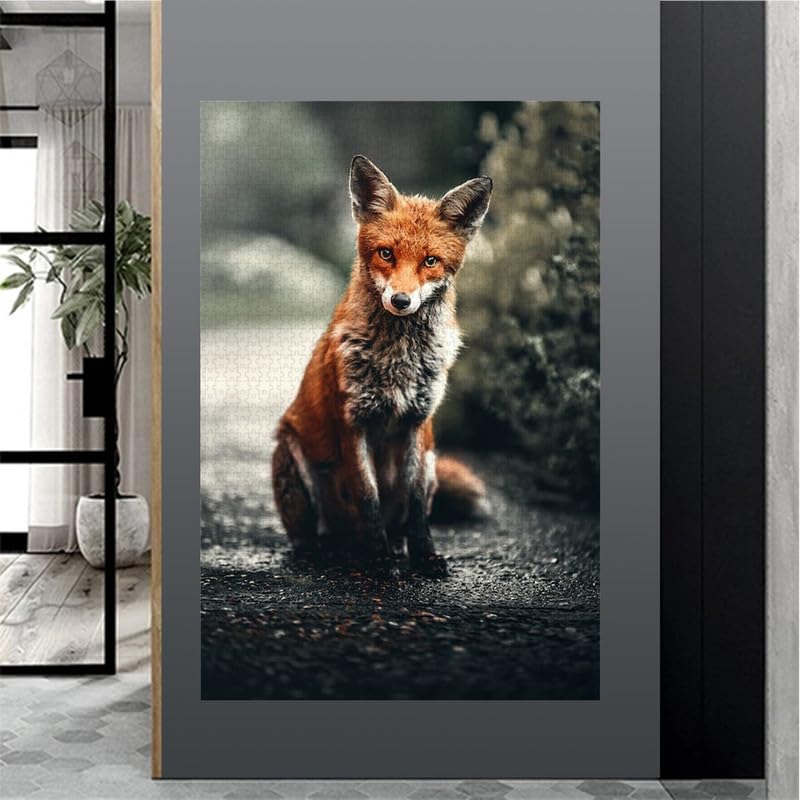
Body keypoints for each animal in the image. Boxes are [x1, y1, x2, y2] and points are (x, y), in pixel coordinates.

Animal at [272, 155, 492, 576]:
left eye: (430, 261)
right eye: (386, 253)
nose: (401, 300)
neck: (398, 360)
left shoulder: (418, 423)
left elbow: (417, 506)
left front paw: (423, 556)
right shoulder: (352, 422)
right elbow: (367, 496)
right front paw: (378, 559)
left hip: (432, 459)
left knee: (401, 518)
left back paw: (394, 545)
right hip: (291, 456)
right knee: (313, 534)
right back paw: (324, 550)